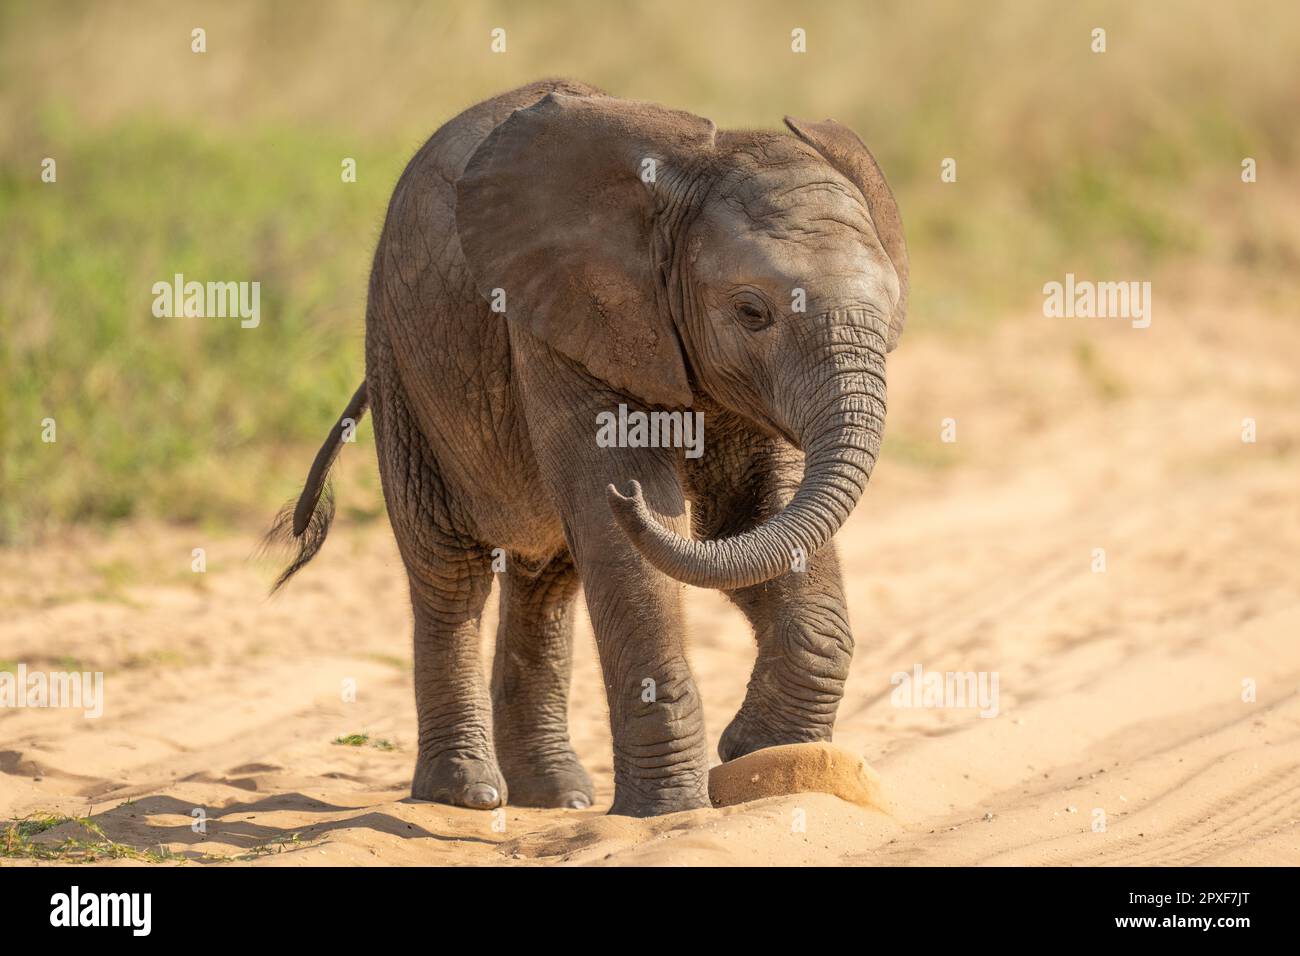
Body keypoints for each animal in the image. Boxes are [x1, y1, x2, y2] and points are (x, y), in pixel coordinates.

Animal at [267, 78, 908, 817]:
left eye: (891, 312)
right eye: (753, 312)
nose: (630, 498)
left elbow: (750, 524)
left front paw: (765, 761)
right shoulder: (558, 318)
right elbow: (627, 535)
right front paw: (670, 811)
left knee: (546, 581)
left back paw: (557, 798)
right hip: (399, 357)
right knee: (449, 574)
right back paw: (467, 795)